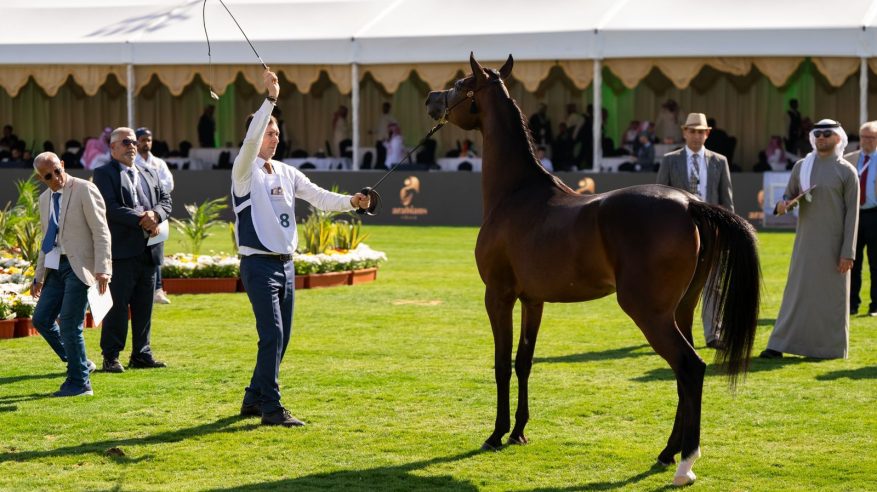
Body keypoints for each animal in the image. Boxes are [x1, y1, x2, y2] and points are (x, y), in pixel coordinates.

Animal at [424, 53, 760, 484]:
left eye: (460, 84)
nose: (431, 99)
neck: (516, 194)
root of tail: (690, 204)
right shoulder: (533, 301)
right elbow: (523, 362)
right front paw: (518, 432)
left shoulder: (498, 296)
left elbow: (501, 364)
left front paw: (496, 434)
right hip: (681, 310)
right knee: (683, 377)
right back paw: (667, 453)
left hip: (648, 313)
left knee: (690, 368)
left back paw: (685, 464)